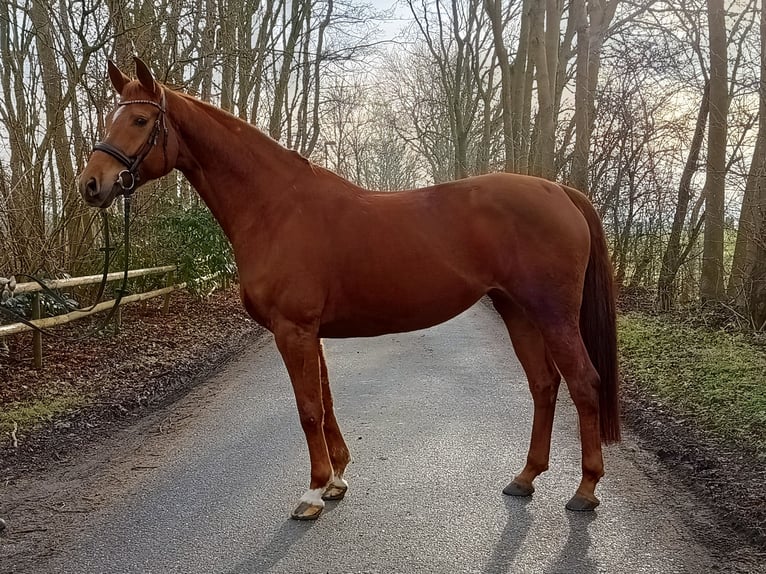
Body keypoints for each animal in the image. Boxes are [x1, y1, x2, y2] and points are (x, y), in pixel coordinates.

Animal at [78, 58, 620, 520]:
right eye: (109, 117)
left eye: (141, 121)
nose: (91, 185)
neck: (276, 208)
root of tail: (559, 190)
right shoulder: (308, 330)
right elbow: (326, 400)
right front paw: (336, 480)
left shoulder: (292, 329)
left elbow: (308, 408)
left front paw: (313, 492)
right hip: (517, 311)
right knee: (544, 385)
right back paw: (525, 478)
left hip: (552, 314)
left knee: (583, 383)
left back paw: (586, 490)